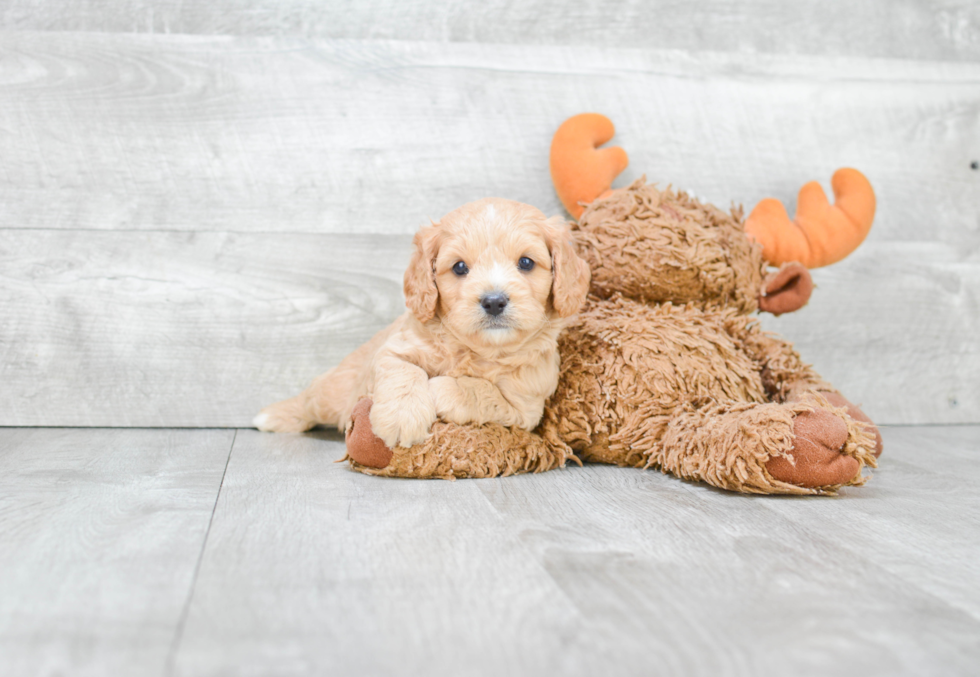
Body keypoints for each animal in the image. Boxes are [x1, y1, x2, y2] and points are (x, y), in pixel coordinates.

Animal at [253, 197, 588, 448]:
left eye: (526, 263)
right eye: (460, 267)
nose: (493, 301)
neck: (478, 351)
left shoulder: (526, 408)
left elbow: (481, 391)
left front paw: (440, 388)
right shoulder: (392, 350)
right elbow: (405, 372)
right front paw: (402, 418)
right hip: (334, 391)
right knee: (310, 399)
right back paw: (271, 416)